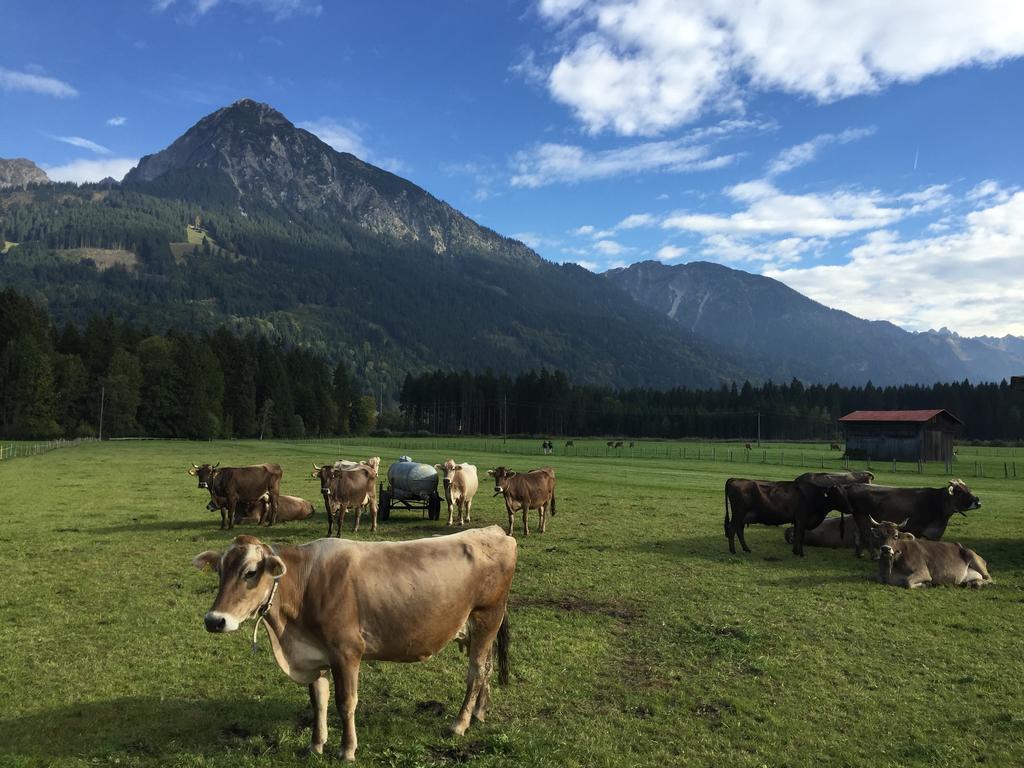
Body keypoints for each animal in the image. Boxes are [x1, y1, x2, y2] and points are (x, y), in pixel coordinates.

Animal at [191, 528, 516, 765]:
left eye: (250, 572)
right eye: (220, 571)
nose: (214, 620)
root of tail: (496, 532)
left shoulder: (346, 652)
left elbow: (345, 702)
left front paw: (347, 750)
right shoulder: (316, 655)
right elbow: (318, 701)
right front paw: (316, 744)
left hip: (487, 617)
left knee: (476, 671)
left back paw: (459, 723)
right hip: (478, 629)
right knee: (486, 668)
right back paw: (479, 713)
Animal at [827, 481, 978, 561]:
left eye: (968, 489)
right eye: (960, 492)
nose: (978, 501)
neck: (936, 502)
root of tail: (854, 485)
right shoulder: (917, 529)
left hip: (858, 518)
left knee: (858, 535)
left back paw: (859, 553)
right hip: (863, 517)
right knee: (866, 535)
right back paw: (874, 555)